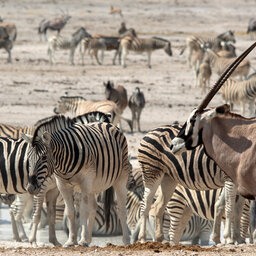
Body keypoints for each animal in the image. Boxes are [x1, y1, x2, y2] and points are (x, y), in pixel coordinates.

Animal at [23, 112, 133, 248]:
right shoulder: (62, 185)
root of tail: (110, 126)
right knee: (93, 207)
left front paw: (82, 240)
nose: (30, 187)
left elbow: (82, 211)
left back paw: (126, 241)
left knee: (121, 209)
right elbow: (71, 212)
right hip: (93, 185)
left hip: (119, 179)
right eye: (28, 158)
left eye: (43, 157)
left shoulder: (84, 183)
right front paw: (72, 241)